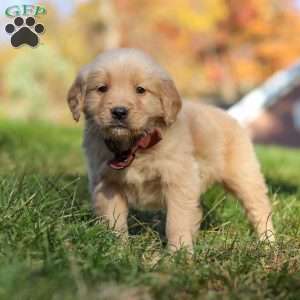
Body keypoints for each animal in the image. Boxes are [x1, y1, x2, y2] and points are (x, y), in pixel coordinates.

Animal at [67, 48, 274, 251]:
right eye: (102, 88)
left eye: (140, 90)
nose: (119, 112)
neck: (136, 145)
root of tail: (228, 115)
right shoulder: (108, 184)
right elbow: (114, 221)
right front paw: (117, 248)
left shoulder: (178, 182)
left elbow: (176, 221)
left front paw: (179, 253)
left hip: (244, 176)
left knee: (259, 207)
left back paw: (268, 242)